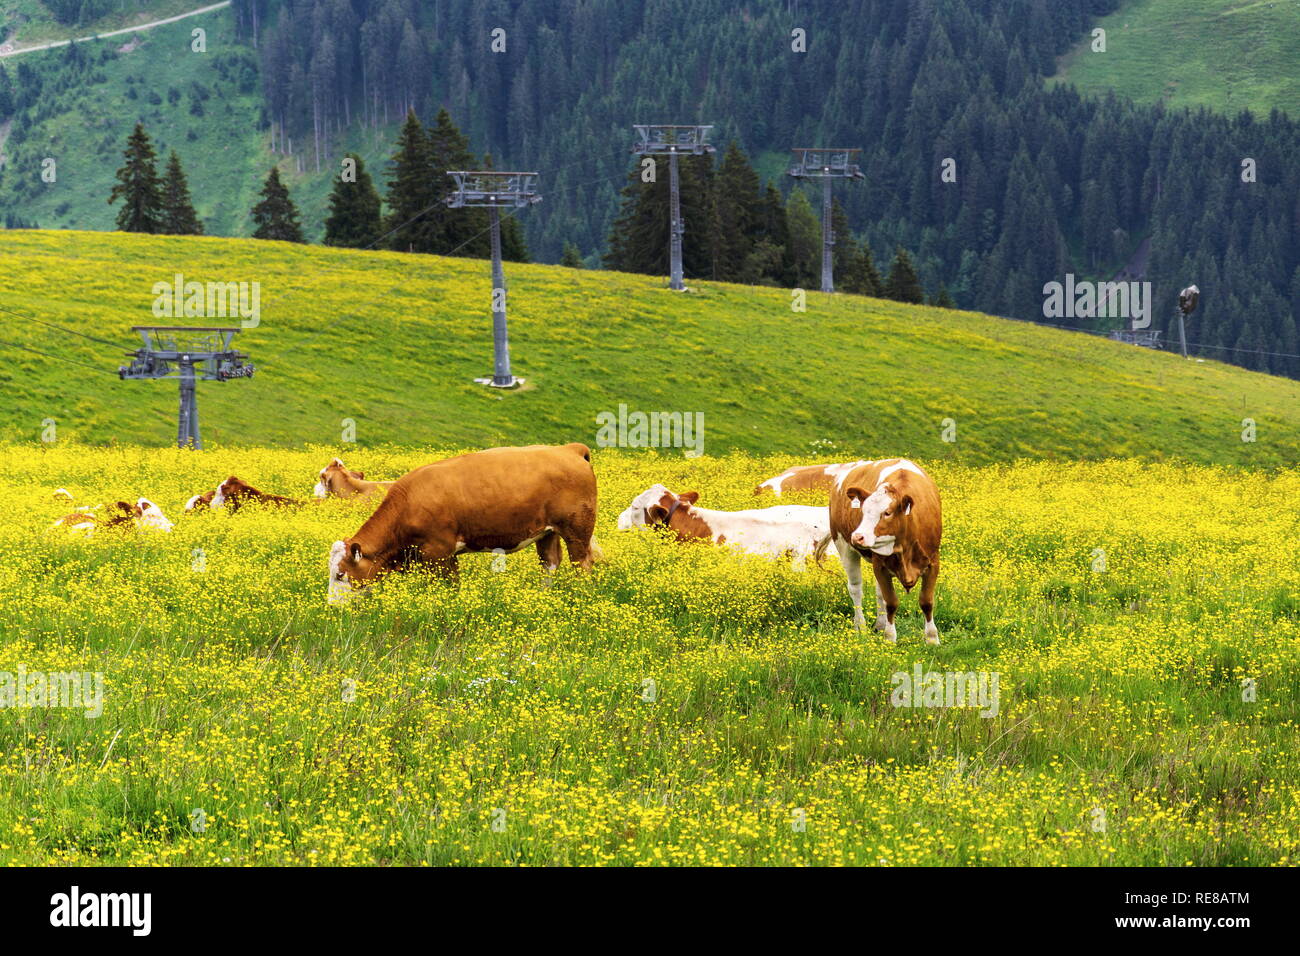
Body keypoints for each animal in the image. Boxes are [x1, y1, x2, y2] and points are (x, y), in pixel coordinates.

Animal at [332, 442, 600, 606]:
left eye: (340, 574)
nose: (333, 608)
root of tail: (568, 449)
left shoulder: (438, 552)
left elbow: (449, 586)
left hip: (577, 530)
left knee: (582, 564)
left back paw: (582, 596)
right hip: (547, 532)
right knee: (550, 563)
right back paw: (544, 597)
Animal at [816, 463, 941, 647]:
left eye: (887, 513)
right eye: (863, 510)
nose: (857, 536)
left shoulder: (933, 563)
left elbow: (926, 601)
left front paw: (932, 638)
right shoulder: (880, 565)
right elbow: (891, 602)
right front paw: (890, 637)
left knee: (878, 593)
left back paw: (880, 625)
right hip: (844, 546)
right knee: (856, 589)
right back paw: (861, 627)